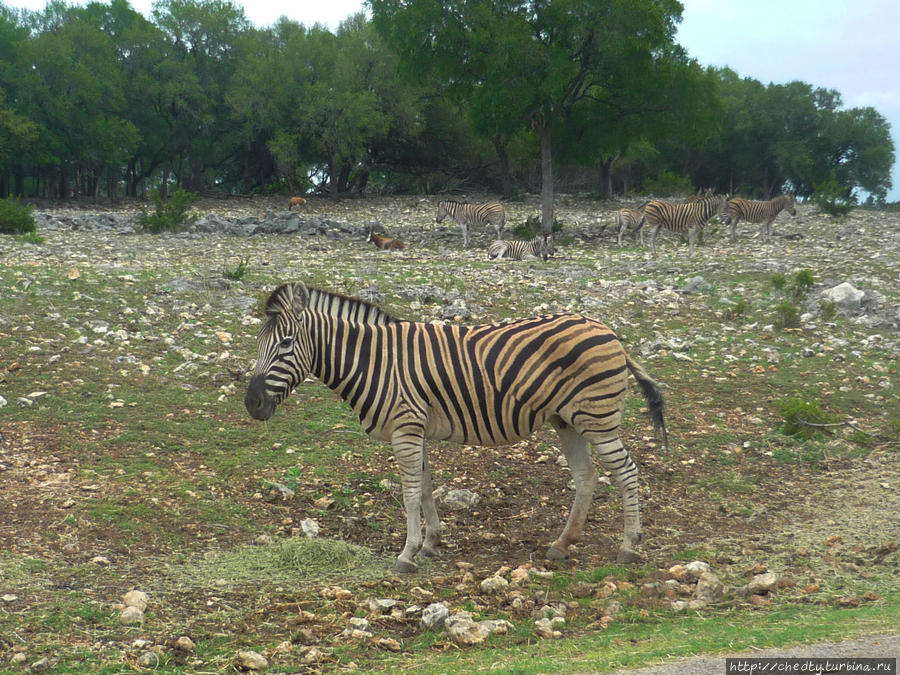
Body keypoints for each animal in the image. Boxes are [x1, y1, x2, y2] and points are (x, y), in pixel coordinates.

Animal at [246, 282, 668, 572]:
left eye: (286, 343)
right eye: (259, 344)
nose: (252, 403)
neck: (376, 360)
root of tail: (609, 331)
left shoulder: (405, 428)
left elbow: (409, 494)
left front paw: (407, 554)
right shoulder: (414, 429)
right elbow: (426, 488)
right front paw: (430, 543)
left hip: (597, 420)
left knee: (627, 472)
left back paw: (629, 546)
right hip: (566, 420)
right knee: (586, 476)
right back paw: (563, 544)